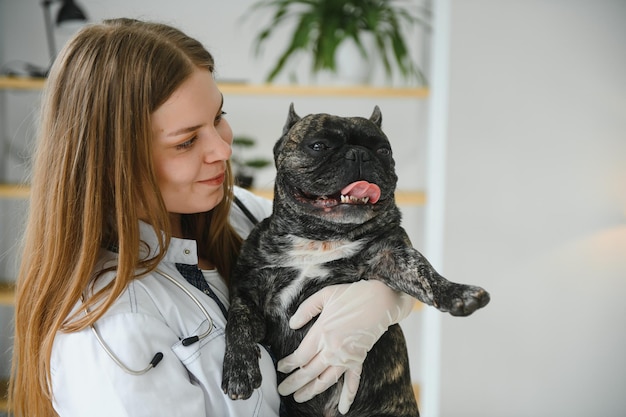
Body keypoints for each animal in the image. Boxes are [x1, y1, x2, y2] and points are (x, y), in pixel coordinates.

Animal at [222, 105, 490, 416]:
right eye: (318, 146)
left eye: (384, 150)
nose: (359, 154)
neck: (320, 236)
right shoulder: (248, 290)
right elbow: (238, 320)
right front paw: (239, 371)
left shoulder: (393, 254)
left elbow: (424, 272)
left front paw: (458, 293)